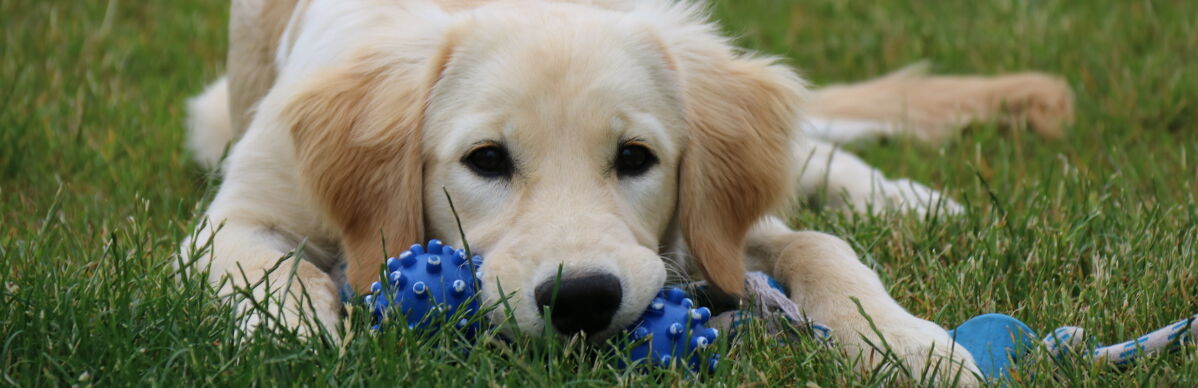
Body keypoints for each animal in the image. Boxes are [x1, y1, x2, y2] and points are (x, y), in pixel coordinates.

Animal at [179, 0, 1078, 383]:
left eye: (636, 157)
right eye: (486, 161)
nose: (582, 299)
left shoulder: (717, 225)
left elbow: (822, 246)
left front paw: (908, 343)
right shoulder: (237, 214)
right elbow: (266, 271)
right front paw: (294, 335)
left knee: (816, 152)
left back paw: (907, 198)